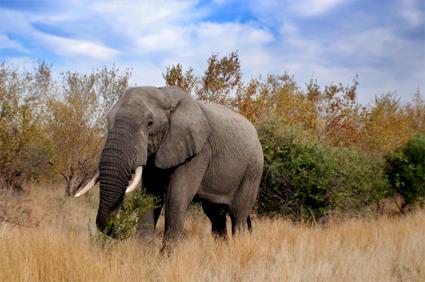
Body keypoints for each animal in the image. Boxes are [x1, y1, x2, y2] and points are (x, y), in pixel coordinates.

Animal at [74, 86, 264, 247]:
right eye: (108, 121)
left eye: (149, 123)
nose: (122, 233)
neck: (164, 95)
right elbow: (151, 194)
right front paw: (142, 253)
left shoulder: (199, 151)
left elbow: (177, 197)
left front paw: (165, 257)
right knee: (215, 214)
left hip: (253, 170)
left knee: (238, 214)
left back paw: (238, 248)